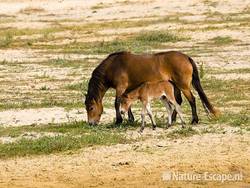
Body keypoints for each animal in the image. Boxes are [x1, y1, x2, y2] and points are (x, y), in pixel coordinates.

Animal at [84, 50, 219, 125]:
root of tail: (186, 57)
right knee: (177, 101)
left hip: (183, 86)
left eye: (91, 108)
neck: (113, 66)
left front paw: (119, 120)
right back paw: (173, 119)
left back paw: (194, 120)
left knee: (192, 100)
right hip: (174, 85)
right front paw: (130, 119)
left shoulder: (120, 87)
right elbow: (127, 104)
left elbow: (117, 103)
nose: (91, 123)